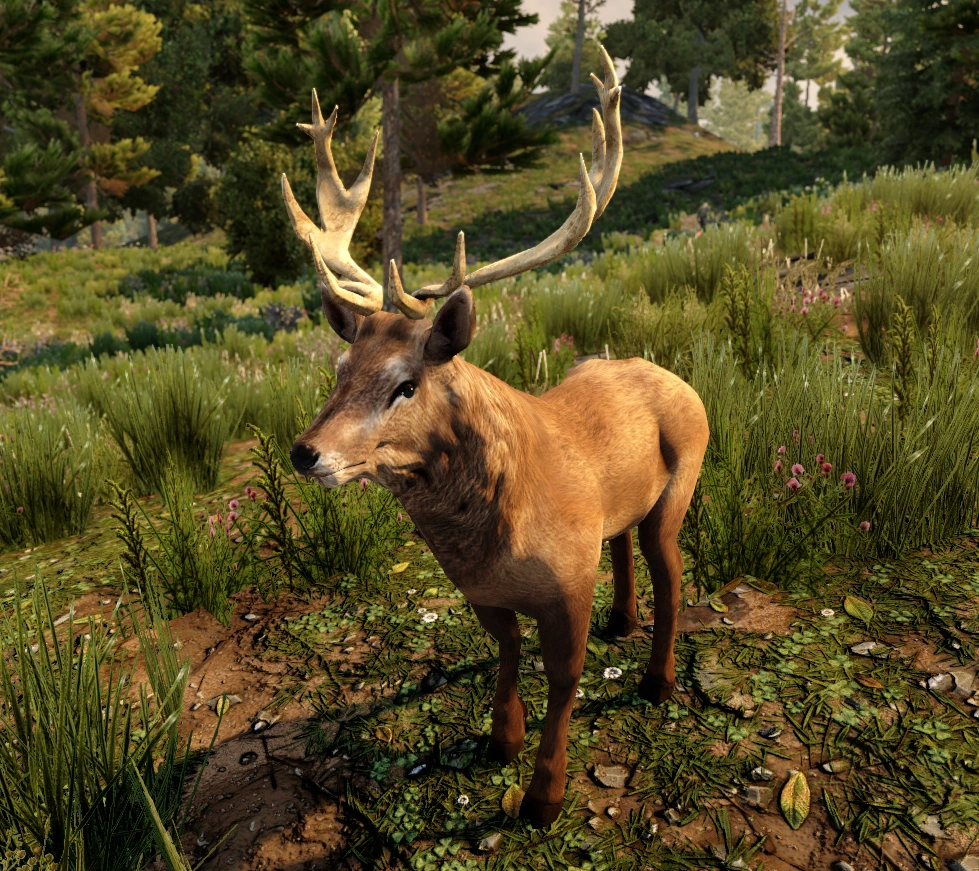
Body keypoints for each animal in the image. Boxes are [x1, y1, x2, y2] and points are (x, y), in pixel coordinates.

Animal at [281, 49, 709, 828]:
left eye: (406, 382)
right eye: (339, 368)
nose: (306, 452)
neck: (494, 537)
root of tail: (669, 373)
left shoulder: (567, 578)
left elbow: (564, 678)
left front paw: (544, 795)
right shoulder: (480, 588)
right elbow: (507, 650)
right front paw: (498, 740)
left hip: (683, 478)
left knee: (671, 568)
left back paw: (657, 680)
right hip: (623, 505)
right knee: (624, 542)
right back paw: (622, 623)